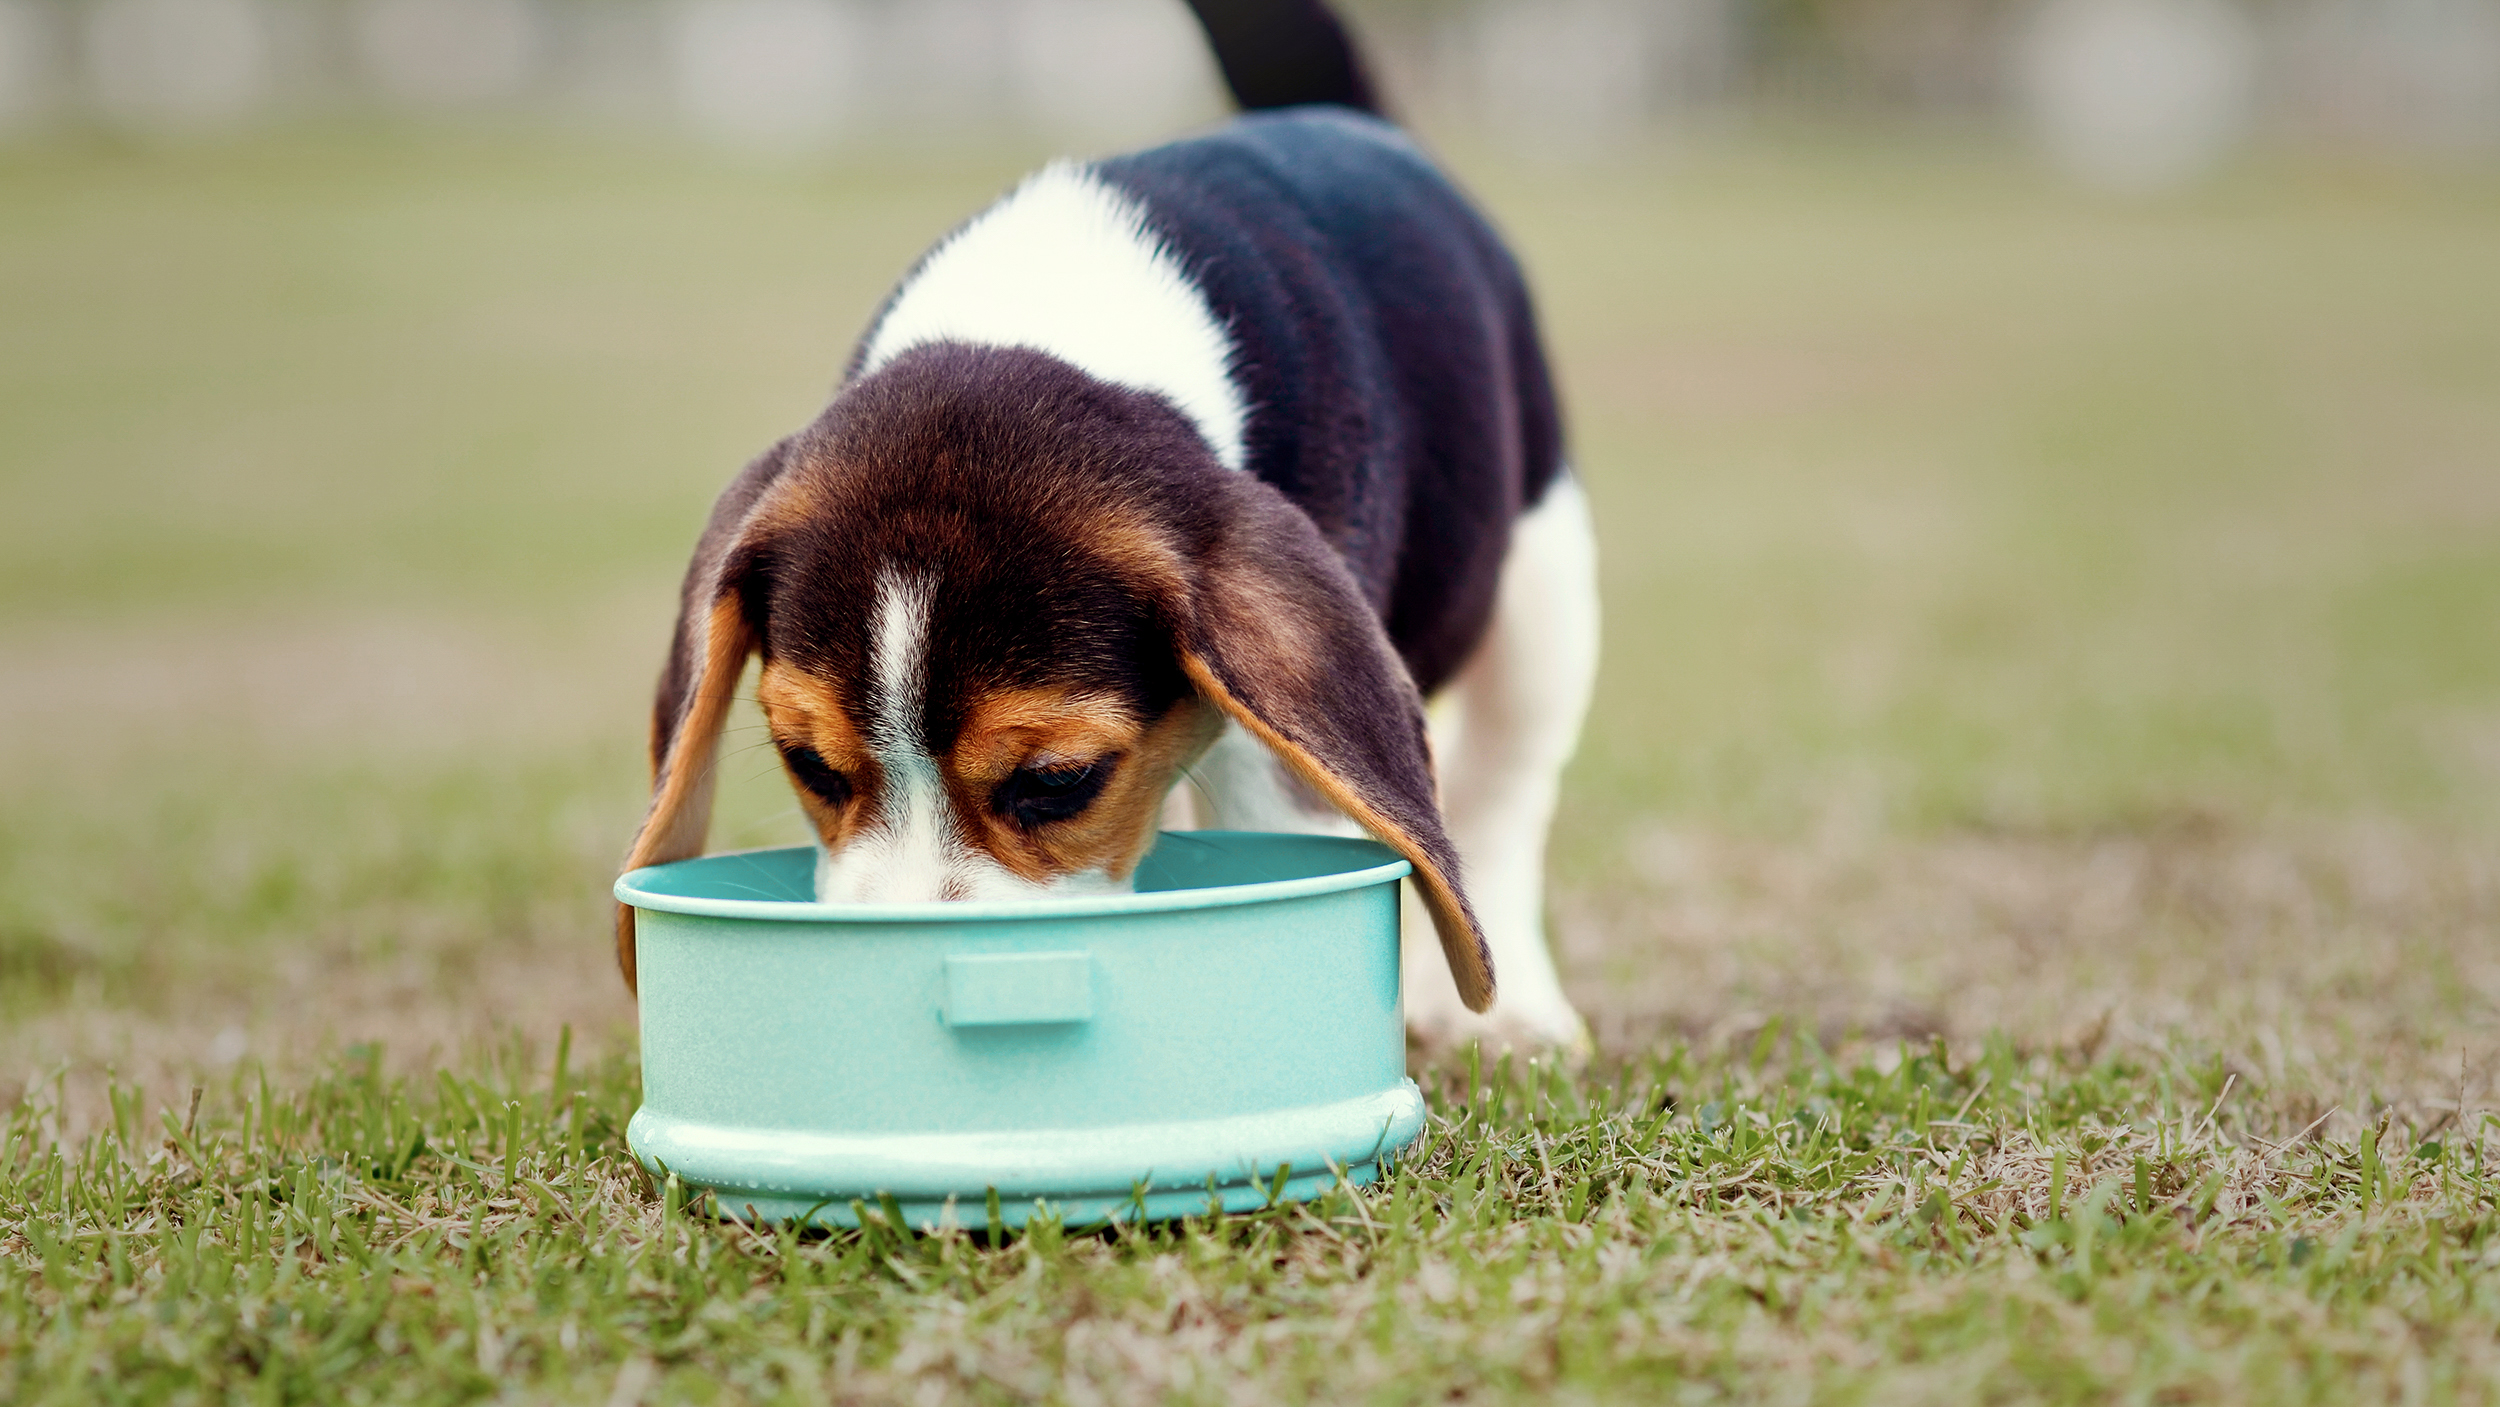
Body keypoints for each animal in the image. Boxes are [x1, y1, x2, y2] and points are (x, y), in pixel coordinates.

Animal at [625, 0, 1600, 1044]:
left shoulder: (1272, 743)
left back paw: (1510, 1013)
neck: (1047, 311)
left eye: (1059, 782)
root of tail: (1350, 121)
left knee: (1503, 789)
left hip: (1544, 589)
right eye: (809, 764)